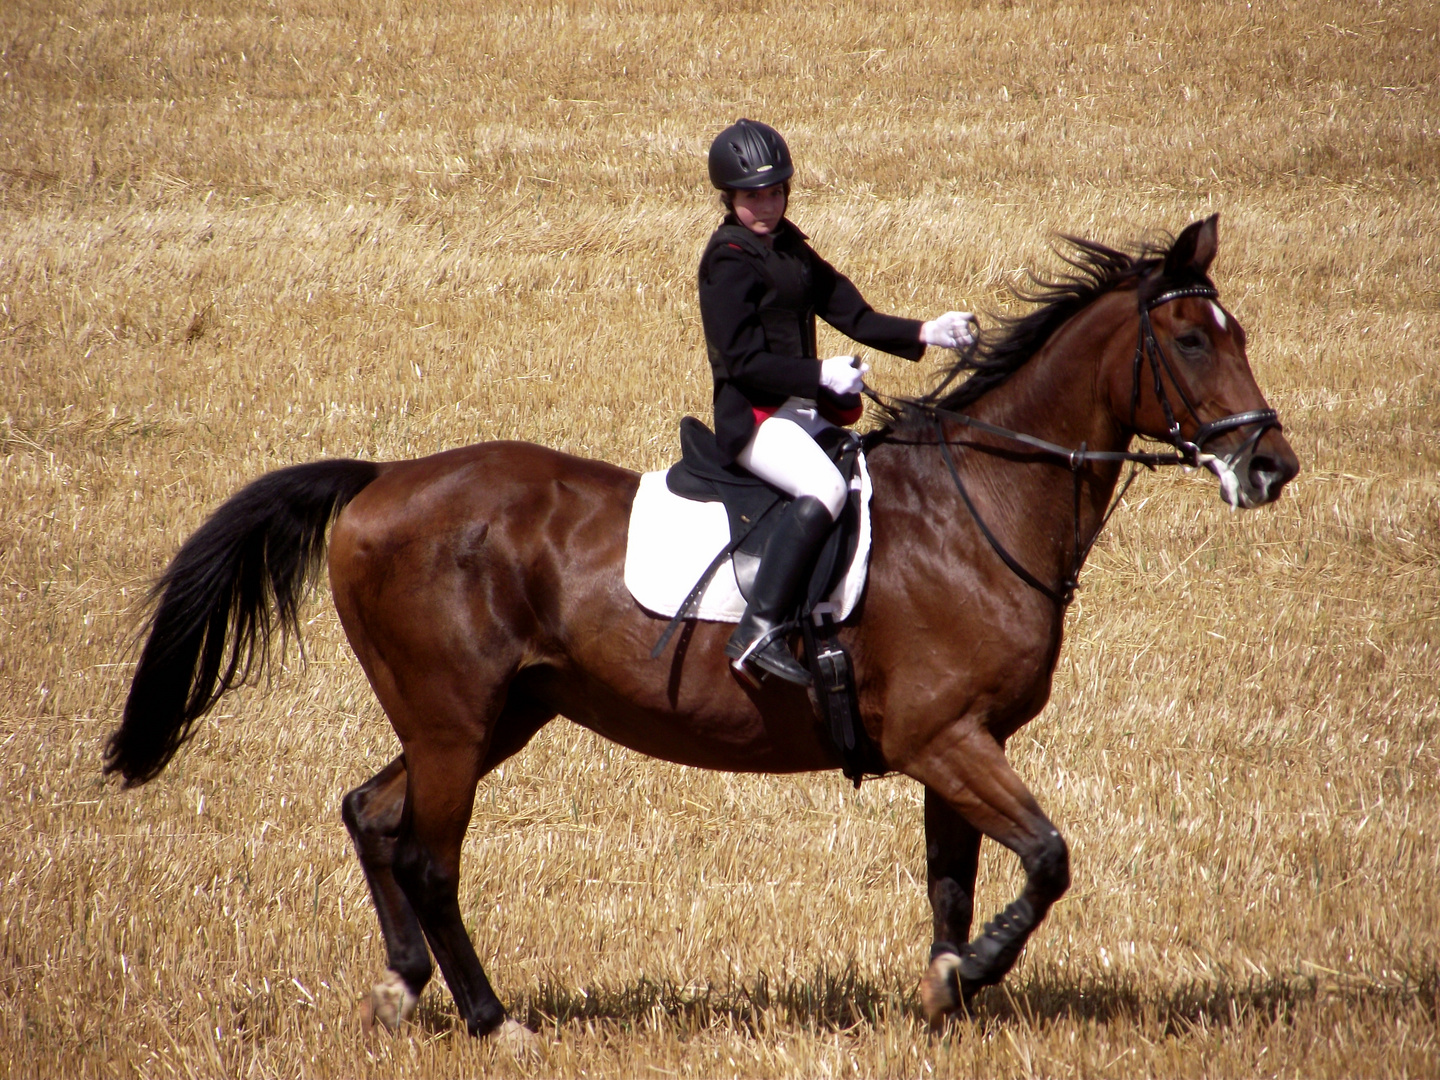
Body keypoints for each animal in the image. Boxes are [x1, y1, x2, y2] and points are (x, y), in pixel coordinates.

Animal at [101, 213, 1296, 1048]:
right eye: (1190, 340)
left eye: (1234, 332)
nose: (1271, 465)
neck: (982, 505)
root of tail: (383, 479)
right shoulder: (942, 738)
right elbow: (1047, 858)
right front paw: (974, 974)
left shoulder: (960, 744)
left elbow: (955, 879)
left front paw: (946, 998)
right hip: (454, 722)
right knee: (431, 855)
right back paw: (492, 1020)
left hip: (498, 715)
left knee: (370, 814)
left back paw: (402, 991)